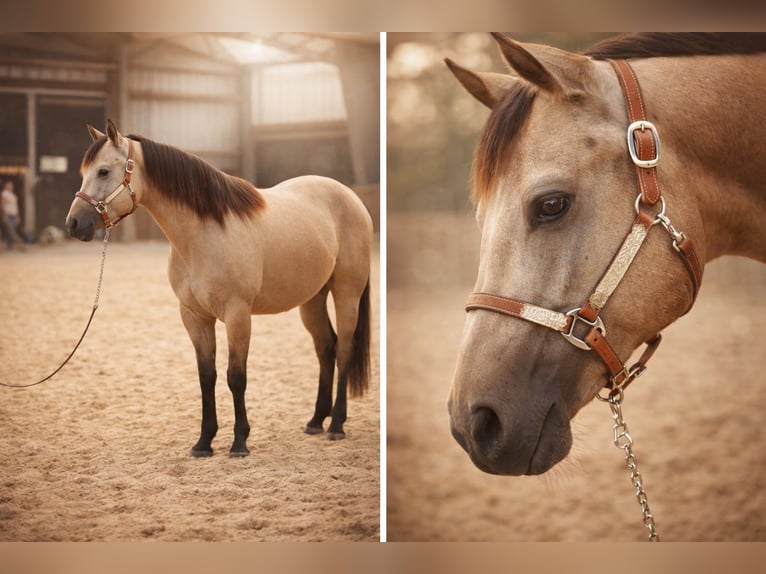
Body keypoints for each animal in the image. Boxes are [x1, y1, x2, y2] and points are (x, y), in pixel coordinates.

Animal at [66, 120, 373, 457]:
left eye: (103, 171)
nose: (74, 224)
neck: (205, 233)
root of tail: (350, 196)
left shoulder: (238, 315)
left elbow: (235, 377)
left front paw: (239, 442)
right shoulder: (194, 316)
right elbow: (207, 376)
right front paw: (204, 442)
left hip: (346, 293)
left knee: (344, 349)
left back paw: (336, 425)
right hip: (312, 299)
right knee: (325, 348)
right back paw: (316, 420)